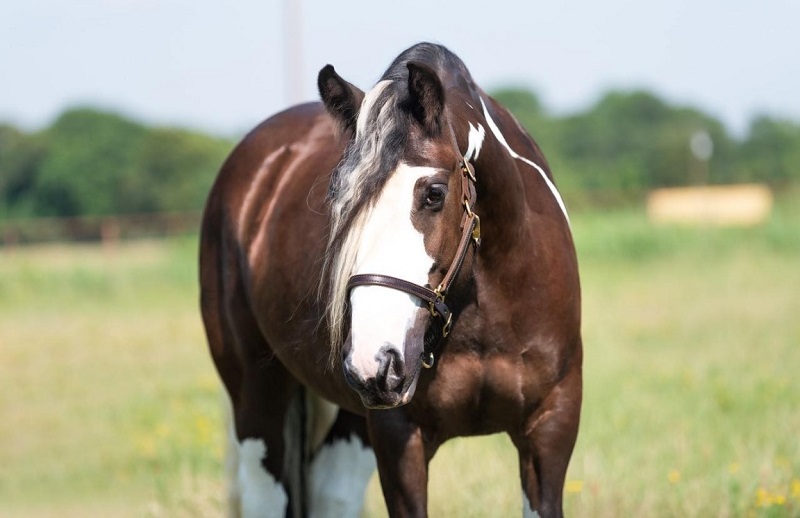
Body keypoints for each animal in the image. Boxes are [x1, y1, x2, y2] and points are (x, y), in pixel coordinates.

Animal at [199, 42, 582, 518]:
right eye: (339, 201)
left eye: (434, 193)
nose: (375, 361)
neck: (482, 305)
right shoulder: (398, 436)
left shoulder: (549, 428)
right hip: (256, 393)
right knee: (266, 492)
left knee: (333, 490)